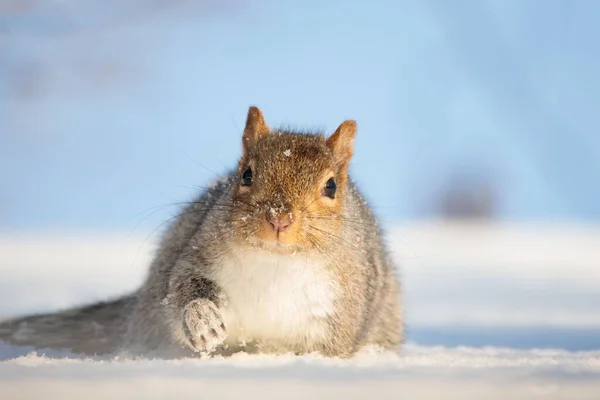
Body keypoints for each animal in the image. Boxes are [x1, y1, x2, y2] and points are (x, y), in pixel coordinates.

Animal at [0, 107, 406, 360]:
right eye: (246, 174)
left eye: (332, 186)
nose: (278, 218)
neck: (276, 263)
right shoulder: (199, 254)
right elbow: (184, 290)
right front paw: (203, 324)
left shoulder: (339, 307)